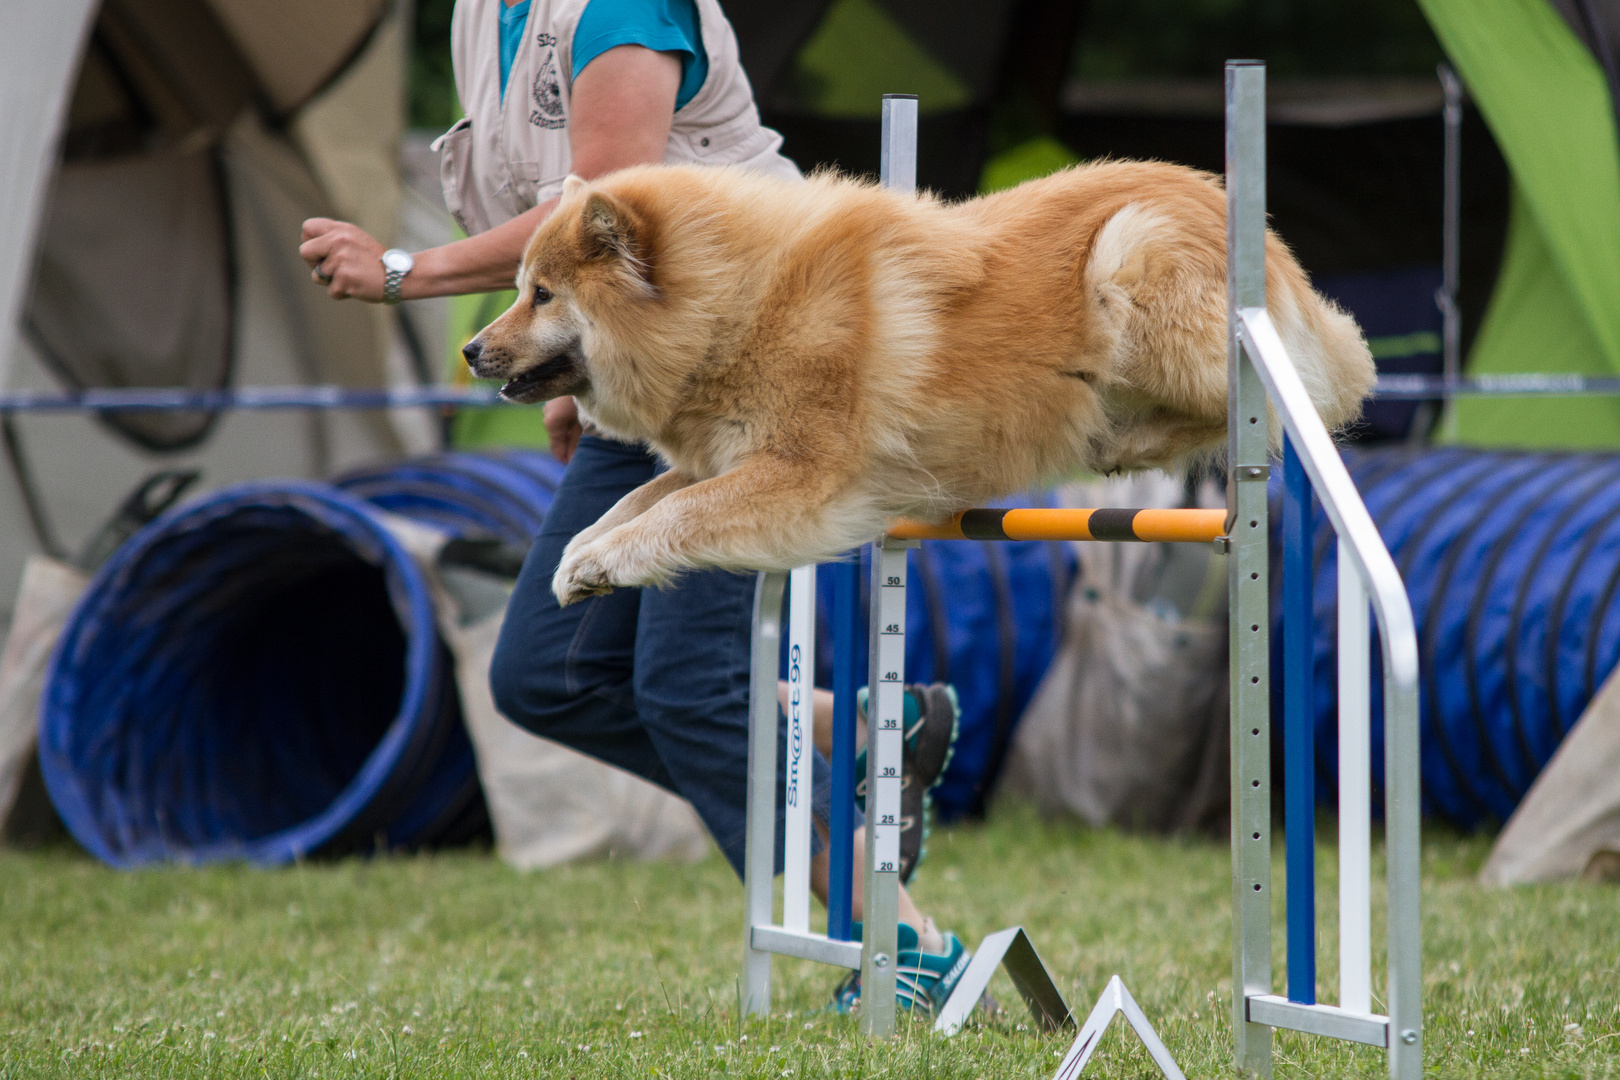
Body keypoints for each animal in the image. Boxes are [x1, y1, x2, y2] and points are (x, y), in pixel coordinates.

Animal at [463, 158, 1373, 608]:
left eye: (541, 295)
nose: (471, 351)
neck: (738, 305)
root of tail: (1265, 242)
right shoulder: (725, 460)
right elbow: (634, 504)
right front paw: (579, 560)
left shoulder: (801, 477)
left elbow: (674, 516)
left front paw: (599, 563)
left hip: (1131, 264)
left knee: (1285, 404)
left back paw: (1127, 437)